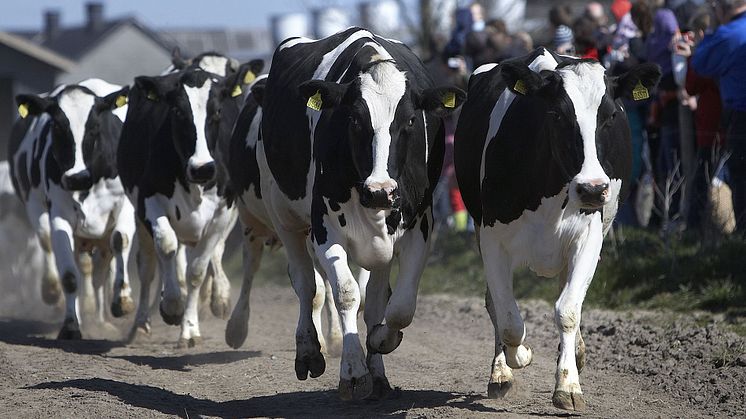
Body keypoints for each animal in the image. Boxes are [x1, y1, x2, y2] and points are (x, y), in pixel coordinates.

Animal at [8, 79, 135, 340]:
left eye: (95, 127)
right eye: (57, 126)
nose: (77, 177)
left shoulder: (124, 203)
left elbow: (120, 240)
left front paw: (122, 301)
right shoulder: (59, 213)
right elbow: (69, 275)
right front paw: (70, 325)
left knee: (100, 266)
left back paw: (100, 320)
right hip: (36, 206)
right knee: (50, 243)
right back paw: (60, 296)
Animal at [120, 57, 264, 350]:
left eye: (217, 111)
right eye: (177, 111)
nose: (203, 168)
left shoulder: (224, 211)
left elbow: (197, 269)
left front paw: (189, 329)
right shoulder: (148, 200)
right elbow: (166, 247)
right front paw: (172, 305)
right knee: (149, 265)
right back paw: (141, 323)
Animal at [258, 27, 462, 402]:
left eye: (410, 120)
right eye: (354, 119)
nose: (380, 190)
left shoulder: (420, 227)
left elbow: (398, 307)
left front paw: (381, 341)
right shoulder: (325, 230)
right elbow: (346, 293)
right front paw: (353, 372)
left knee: (375, 299)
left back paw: (378, 372)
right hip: (283, 215)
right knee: (305, 283)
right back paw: (309, 351)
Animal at [450, 47, 660, 412]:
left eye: (609, 116)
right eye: (558, 115)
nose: (592, 189)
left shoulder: (589, 237)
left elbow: (567, 310)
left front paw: (568, 385)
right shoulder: (492, 238)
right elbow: (508, 318)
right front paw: (518, 358)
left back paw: (574, 351)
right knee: (495, 304)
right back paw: (501, 372)